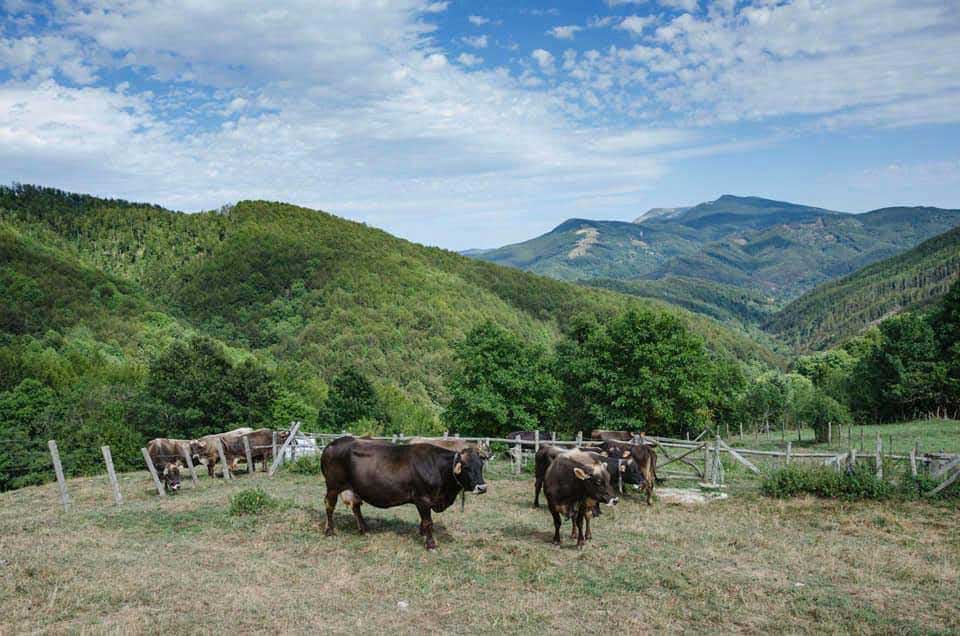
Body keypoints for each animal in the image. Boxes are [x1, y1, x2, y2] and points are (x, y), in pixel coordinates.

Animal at [322, 434, 488, 548]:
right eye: (466, 467)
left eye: (481, 465)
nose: (482, 488)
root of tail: (333, 443)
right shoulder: (423, 499)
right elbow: (428, 522)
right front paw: (430, 543)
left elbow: (424, 521)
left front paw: (422, 534)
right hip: (333, 486)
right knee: (329, 506)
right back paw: (330, 531)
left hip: (354, 488)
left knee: (356, 506)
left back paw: (364, 529)